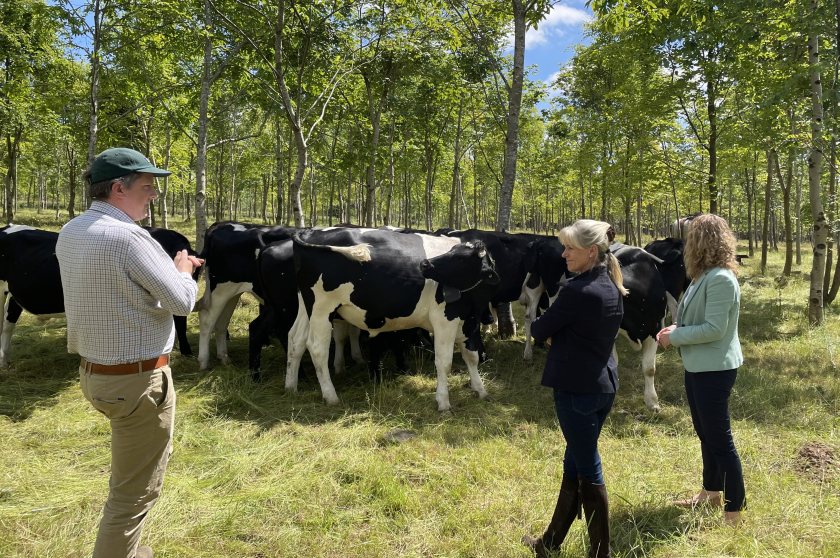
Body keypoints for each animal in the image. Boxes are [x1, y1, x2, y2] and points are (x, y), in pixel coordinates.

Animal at [286, 229, 502, 412]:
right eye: (453, 252)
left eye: (460, 258)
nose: (424, 263)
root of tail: (311, 231)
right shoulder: (444, 320)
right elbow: (444, 362)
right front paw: (443, 402)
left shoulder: (470, 322)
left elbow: (471, 356)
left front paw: (480, 390)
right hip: (322, 307)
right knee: (316, 348)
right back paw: (330, 396)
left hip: (306, 306)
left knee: (296, 340)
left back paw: (291, 387)